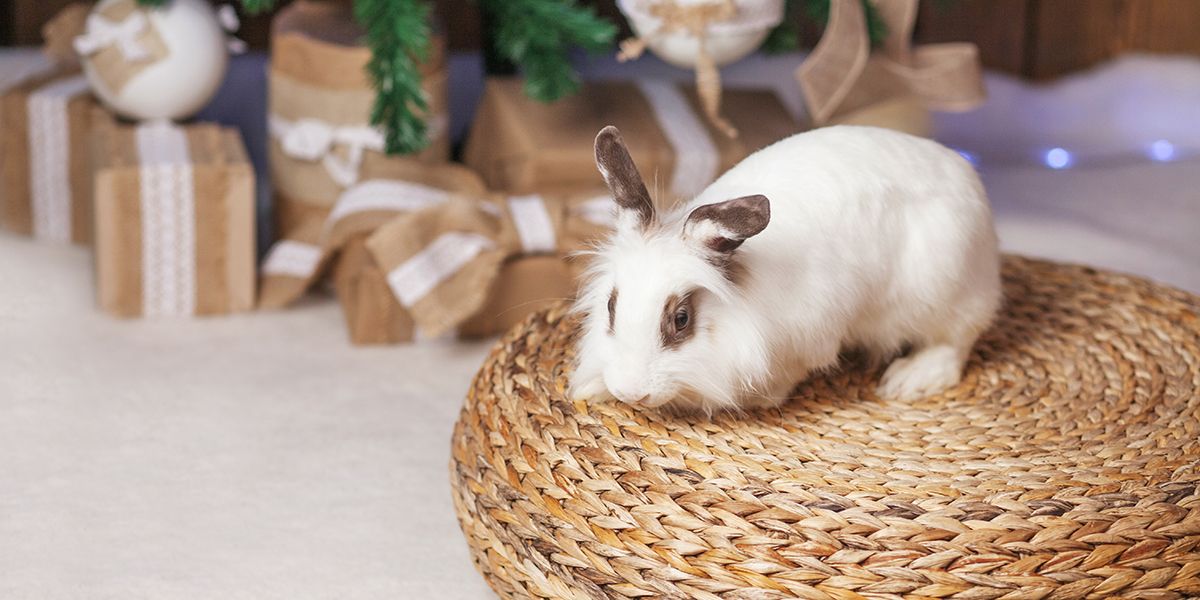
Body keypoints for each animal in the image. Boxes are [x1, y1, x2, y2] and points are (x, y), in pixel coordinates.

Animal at [570, 124, 1001, 413]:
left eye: (681, 319)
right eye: (610, 307)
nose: (631, 392)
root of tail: (966, 175)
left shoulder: (809, 340)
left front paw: (760, 400)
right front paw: (591, 390)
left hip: (946, 291)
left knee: (955, 341)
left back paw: (909, 379)